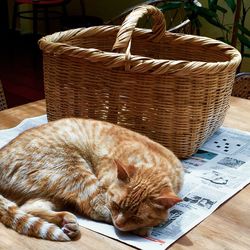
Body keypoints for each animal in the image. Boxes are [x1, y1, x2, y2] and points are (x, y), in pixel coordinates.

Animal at [0, 118, 184, 241]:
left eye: (137, 216)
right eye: (115, 204)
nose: (120, 224)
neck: (155, 164)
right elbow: (104, 209)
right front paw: (145, 226)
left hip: (50, 191)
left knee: (29, 207)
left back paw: (67, 221)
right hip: (75, 171)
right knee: (96, 208)